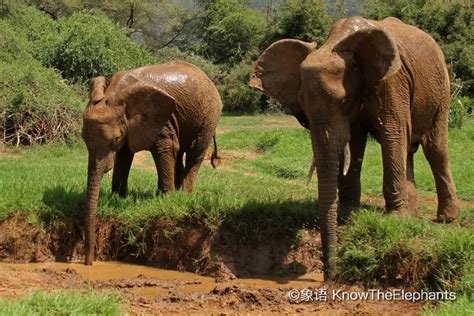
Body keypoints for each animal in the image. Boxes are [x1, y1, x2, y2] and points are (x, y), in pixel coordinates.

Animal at [81, 60, 222, 266]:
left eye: (114, 141)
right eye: (83, 139)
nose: (89, 263)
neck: (115, 93)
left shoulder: (161, 118)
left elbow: (165, 148)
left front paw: (167, 200)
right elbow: (125, 155)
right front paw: (118, 197)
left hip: (209, 114)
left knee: (195, 151)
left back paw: (184, 195)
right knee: (180, 154)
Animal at [250, 16, 462, 278]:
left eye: (343, 101)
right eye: (303, 108)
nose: (329, 275)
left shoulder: (393, 82)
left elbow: (392, 133)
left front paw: (395, 220)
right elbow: (355, 140)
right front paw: (347, 213)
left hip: (442, 90)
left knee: (435, 149)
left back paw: (445, 218)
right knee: (409, 151)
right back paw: (412, 215)